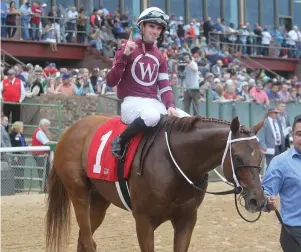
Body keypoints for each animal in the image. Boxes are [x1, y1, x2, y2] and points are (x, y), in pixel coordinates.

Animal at [45, 114, 264, 252]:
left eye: (261, 156)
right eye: (237, 157)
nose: (257, 200)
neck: (176, 163)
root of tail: (71, 129)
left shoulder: (186, 219)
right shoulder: (143, 220)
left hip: (99, 201)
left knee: (84, 240)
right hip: (79, 194)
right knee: (88, 241)